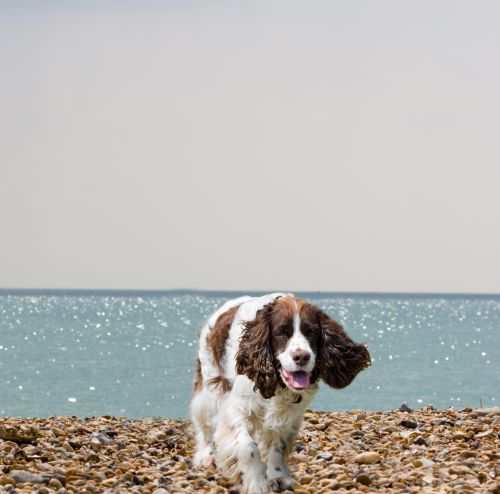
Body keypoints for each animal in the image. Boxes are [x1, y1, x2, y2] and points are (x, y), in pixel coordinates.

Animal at [191, 294, 372, 494]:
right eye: (281, 332)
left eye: (311, 332)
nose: (302, 357)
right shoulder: (237, 409)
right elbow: (247, 447)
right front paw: (255, 482)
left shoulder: (287, 416)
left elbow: (276, 447)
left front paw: (277, 476)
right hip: (210, 389)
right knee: (205, 426)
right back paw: (206, 456)